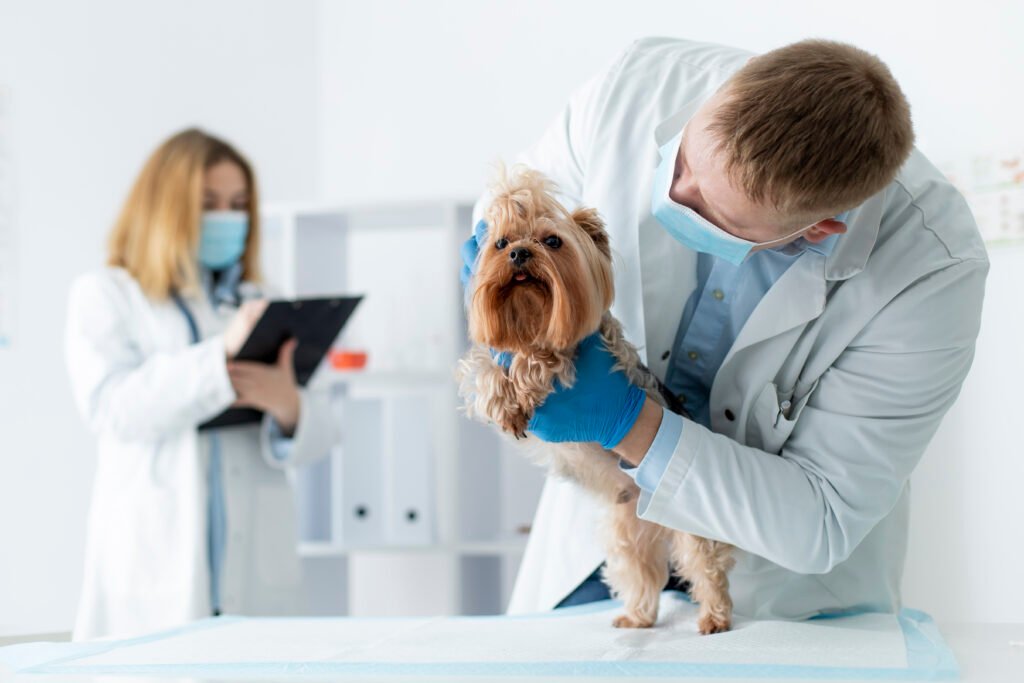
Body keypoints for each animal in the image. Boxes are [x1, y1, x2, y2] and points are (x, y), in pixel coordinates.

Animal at [458, 165, 737, 634]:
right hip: (626, 530)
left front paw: (527, 380)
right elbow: (483, 371)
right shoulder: (487, 356)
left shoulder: (587, 354)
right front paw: (505, 401)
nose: (519, 254)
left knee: (705, 563)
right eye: (500, 243)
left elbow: (546, 358)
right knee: (639, 571)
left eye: (553, 241)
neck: (531, 318)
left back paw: (714, 618)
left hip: (690, 519)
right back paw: (636, 618)